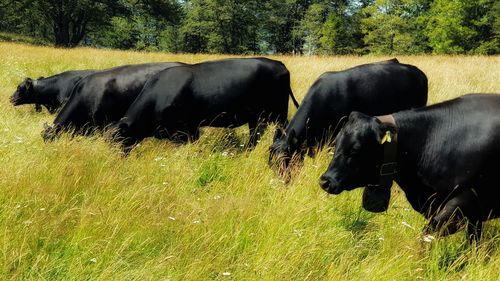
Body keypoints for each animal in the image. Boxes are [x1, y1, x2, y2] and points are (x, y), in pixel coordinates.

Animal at [113, 57, 298, 151]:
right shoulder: (191, 127)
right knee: (255, 135)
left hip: (278, 112)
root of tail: (279, 64)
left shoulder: (183, 129)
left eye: (119, 138)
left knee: (281, 129)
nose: (117, 157)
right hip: (256, 116)